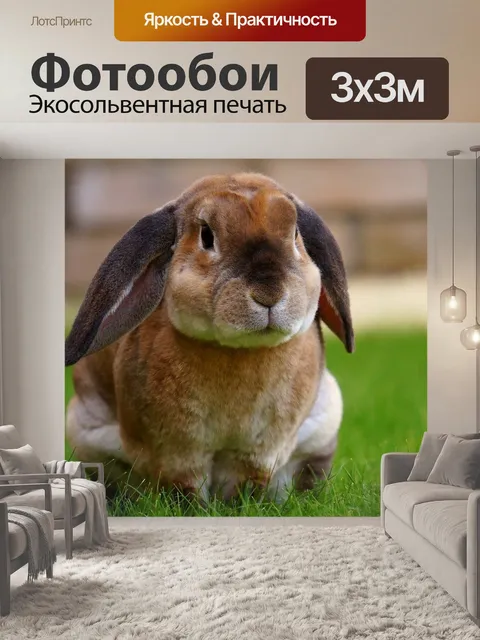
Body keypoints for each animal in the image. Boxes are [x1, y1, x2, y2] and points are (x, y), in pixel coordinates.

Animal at [65, 173, 354, 501]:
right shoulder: (177, 452)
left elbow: (246, 483)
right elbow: (185, 487)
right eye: (206, 236)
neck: (238, 351)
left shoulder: (259, 451)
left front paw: (243, 506)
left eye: (295, 235)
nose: (269, 293)